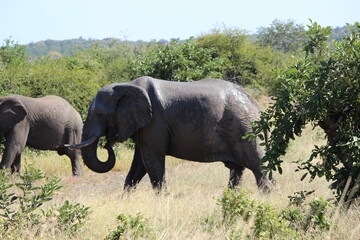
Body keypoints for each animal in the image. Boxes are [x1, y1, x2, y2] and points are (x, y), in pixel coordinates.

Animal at [67, 77, 272, 191]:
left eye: (99, 114)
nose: (106, 144)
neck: (127, 85)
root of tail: (257, 107)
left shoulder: (155, 122)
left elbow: (151, 160)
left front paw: (163, 200)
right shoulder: (145, 126)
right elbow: (139, 164)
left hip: (246, 129)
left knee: (259, 168)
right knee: (237, 172)